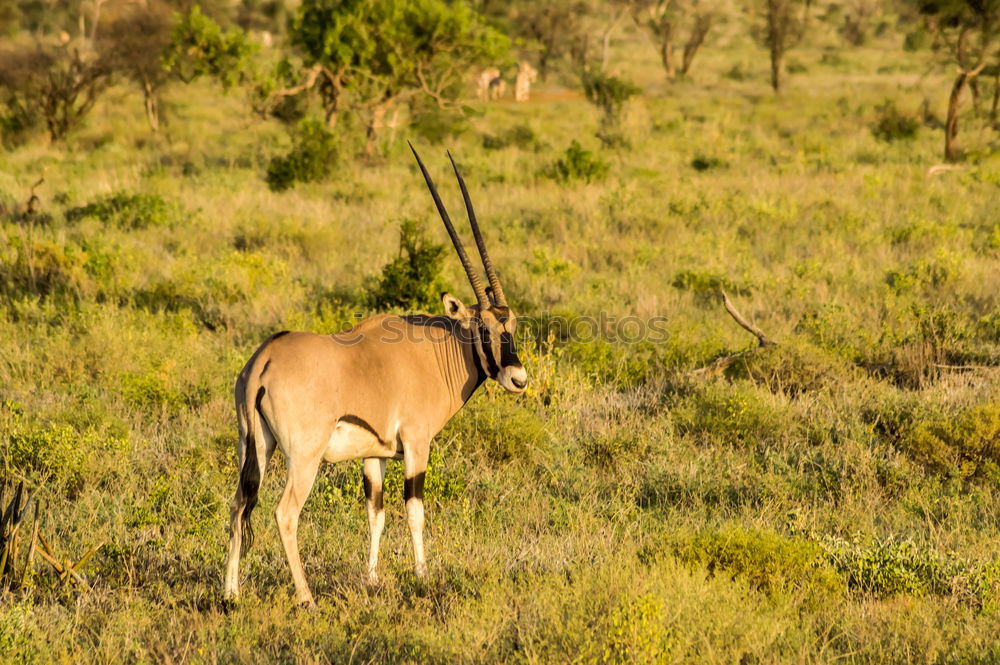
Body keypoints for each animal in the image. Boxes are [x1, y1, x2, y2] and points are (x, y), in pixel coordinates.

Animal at [224, 145, 528, 608]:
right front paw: (422, 576)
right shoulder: (417, 445)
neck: (436, 351)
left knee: (239, 504)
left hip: (253, 446)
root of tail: (264, 360)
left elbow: (376, 512)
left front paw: (371, 578)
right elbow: (414, 509)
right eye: (485, 329)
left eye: (512, 324)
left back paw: (231, 593)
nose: (518, 378)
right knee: (284, 513)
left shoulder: (374, 454)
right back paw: (306, 597)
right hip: (303, 457)